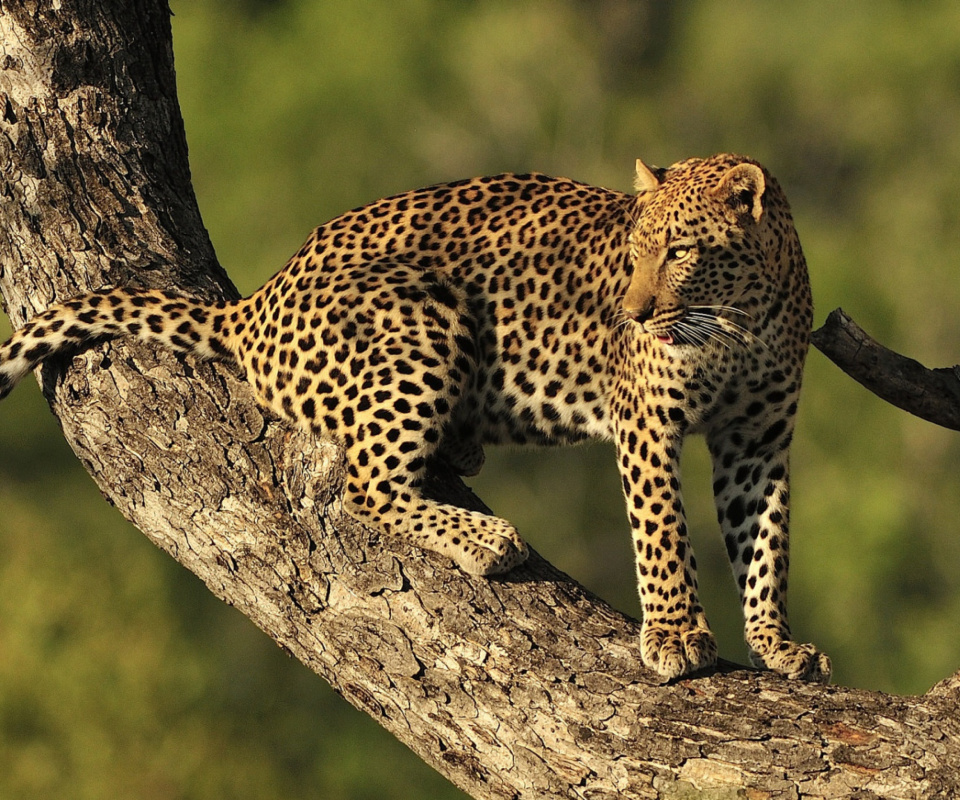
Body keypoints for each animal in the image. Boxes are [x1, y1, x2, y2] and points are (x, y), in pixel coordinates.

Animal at [0, 155, 832, 680]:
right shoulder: (650, 425)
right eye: (633, 253)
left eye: (682, 251)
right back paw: (486, 539)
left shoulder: (757, 441)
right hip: (421, 314)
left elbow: (766, 544)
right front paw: (676, 635)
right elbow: (663, 534)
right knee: (368, 486)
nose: (631, 314)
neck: (740, 319)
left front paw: (777, 646)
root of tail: (255, 303)